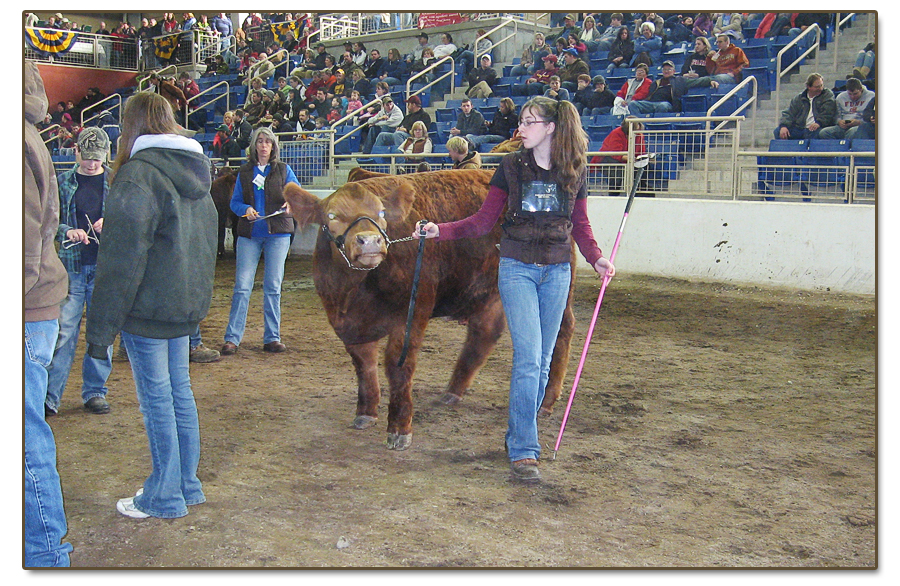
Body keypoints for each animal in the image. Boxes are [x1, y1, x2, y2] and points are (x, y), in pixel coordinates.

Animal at [283, 169, 577, 450]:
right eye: (331, 215)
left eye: (381, 213)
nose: (370, 241)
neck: (355, 291)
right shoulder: (347, 323)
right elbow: (364, 366)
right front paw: (365, 413)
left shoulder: (411, 314)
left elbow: (398, 367)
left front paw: (399, 428)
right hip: (490, 288)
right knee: (484, 333)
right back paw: (453, 391)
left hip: (559, 290)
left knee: (560, 335)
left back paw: (547, 401)